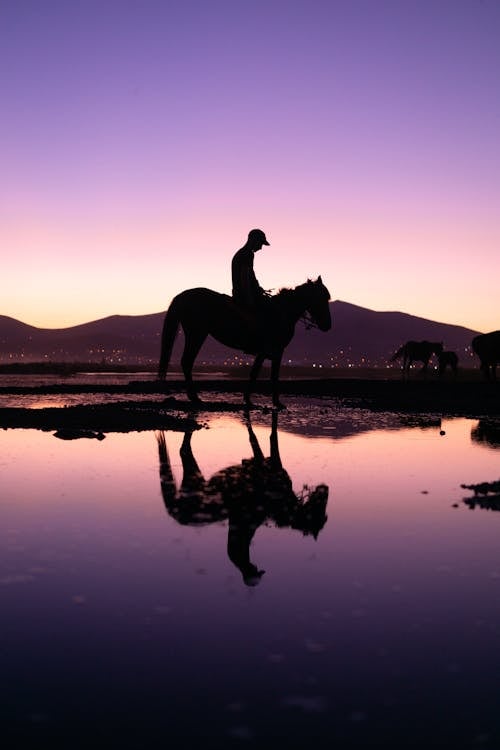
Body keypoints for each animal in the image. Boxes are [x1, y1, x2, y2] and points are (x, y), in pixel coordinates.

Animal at [156, 412, 328, 588]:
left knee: (184, 451)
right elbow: (265, 437)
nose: (326, 488)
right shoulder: (270, 463)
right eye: (321, 507)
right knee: (184, 449)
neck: (286, 507)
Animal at [158, 276, 332, 408]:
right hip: (197, 334)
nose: (327, 325)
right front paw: (276, 403)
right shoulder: (275, 350)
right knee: (187, 362)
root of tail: (183, 296)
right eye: (321, 298)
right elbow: (272, 375)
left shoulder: (264, 352)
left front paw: (248, 399)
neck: (281, 313)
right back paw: (194, 397)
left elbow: (255, 372)